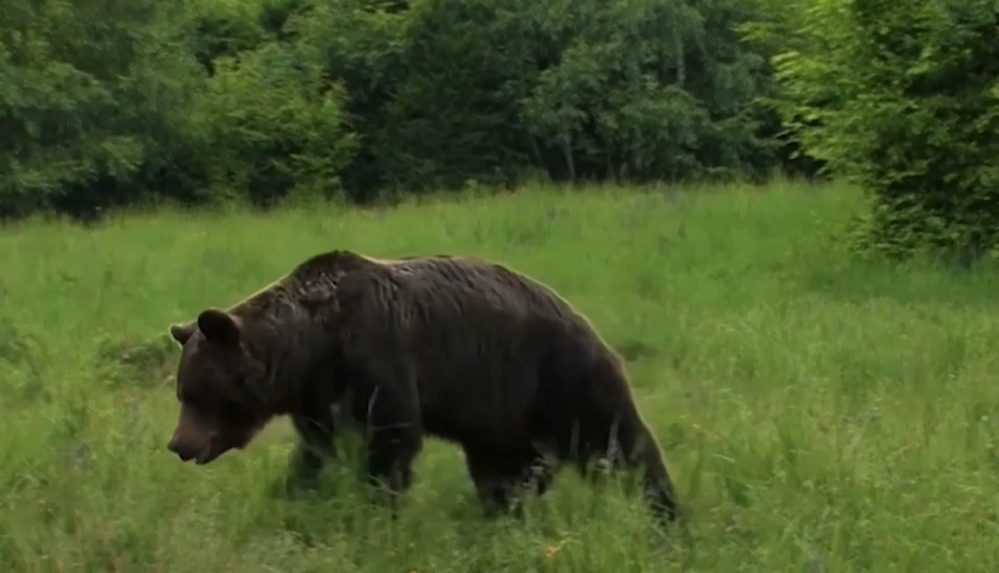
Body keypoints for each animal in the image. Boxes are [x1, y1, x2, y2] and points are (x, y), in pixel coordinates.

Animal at [166, 248, 680, 524]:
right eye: (183, 392)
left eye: (198, 393)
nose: (178, 444)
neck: (313, 347)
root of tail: (586, 322)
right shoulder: (319, 397)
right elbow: (316, 453)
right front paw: (294, 497)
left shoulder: (378, 357)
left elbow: (391, 440)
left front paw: (376, 509)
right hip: (502, 412)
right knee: (506, 469)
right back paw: (504, 511)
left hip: (560, 376)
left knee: (619, 442)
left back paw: (665, 514)